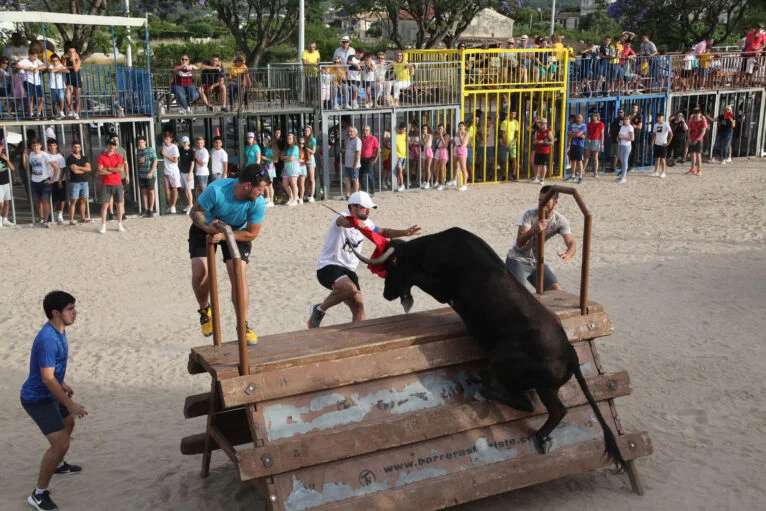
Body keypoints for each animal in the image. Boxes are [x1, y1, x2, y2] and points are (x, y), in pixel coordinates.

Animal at [352, 228, 624, 472]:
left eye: (390, 269)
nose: (387, 295)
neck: (430, 249)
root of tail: (570, 352)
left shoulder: (440, 288)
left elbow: (420, 280)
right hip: (545, 387)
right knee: (554, 409)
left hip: (505, 365)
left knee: (535, 405)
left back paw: (491, 397)